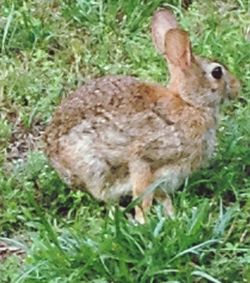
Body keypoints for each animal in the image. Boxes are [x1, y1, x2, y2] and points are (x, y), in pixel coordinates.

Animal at [43, 8, 240, 224]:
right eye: (217, 72)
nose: (237, 88)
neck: (189, 103)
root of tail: (55, 158)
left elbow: (162, 197)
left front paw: (172, 216)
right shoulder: (144, 156)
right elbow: (141, 192)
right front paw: (143, 221)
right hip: (95, 165)